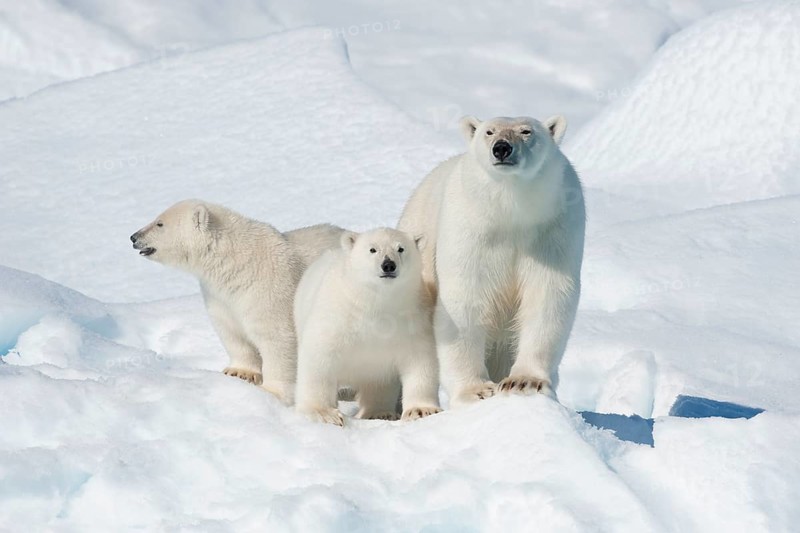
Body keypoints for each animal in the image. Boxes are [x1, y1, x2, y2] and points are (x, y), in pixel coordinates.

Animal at [130, 199, 346, 404]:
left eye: (160, 223)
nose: (133, 237)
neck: (235, 262)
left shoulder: (270, 287)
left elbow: (277, 337)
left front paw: (272, 391)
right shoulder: (220, 296)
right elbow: (230, 331)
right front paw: (240, 372)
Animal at [293, 228, 442, 426]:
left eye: (401, 248)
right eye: (372, 249)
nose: (388, 265)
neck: (375, 304)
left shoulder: (412, 318)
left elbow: (420, 358)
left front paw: (421, 410)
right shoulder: (337, 315)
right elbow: (320, 356)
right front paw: (324, 413)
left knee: (378, 381)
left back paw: (379, 412)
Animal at [398, 115, 585, 406]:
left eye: (526, 131)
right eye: (489, 131)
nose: (502, 148)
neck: (511, 211)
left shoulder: (554, 229)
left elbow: (547, 295)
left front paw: (524, 381)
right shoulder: (470, 229)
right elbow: (465, 299)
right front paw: (476, 390)